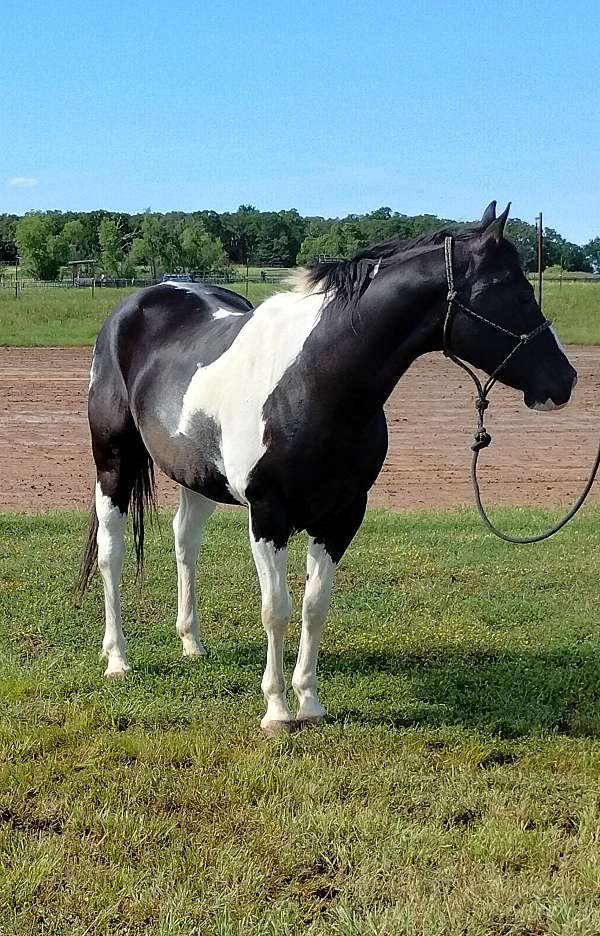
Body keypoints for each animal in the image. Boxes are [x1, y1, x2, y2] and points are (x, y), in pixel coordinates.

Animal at [78, 205, 576, 740]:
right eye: (515, 291)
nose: (565, 380)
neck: (314, 381)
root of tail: (138, 303)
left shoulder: (341, 517)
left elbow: (314, 606)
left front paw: (310, 702)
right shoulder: (268, 516)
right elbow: (276, 609)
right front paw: (277, 710)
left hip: (198, 478)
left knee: (184, 541)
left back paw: (192, 643)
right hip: (113, 462)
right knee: (111, 552)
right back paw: (117, 659)